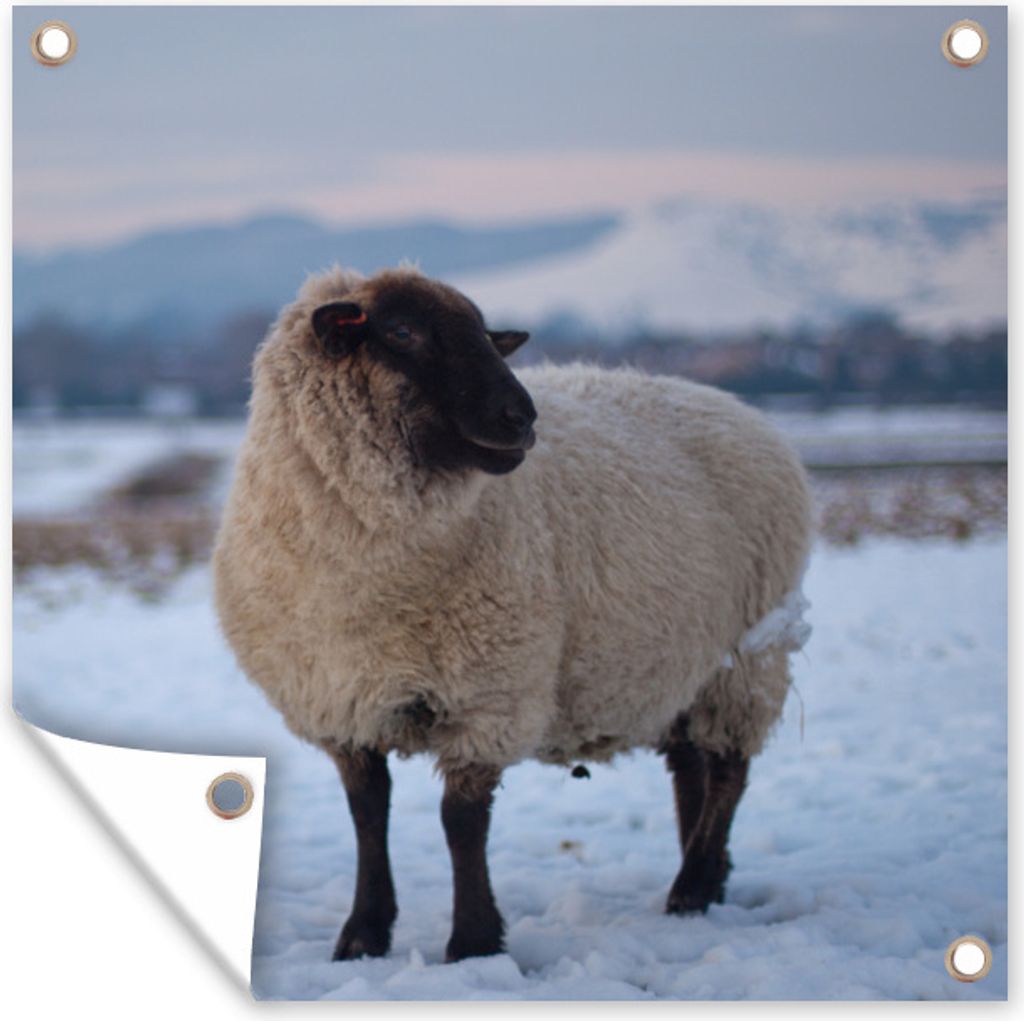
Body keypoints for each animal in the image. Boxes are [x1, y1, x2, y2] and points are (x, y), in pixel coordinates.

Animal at [212, 265, 813, 964]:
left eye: (485, 334)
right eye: (402, 331)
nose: (522, 417)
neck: (371, 579)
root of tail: (737, 407)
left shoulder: (488, 693)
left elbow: (461, 823)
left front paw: (472, 941)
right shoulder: (342, 702)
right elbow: (368, 813)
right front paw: (363, 934)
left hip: (749, 652)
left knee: (729, 772)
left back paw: (692, 886)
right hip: (678, 659)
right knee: (690, 766)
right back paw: (704, 879)